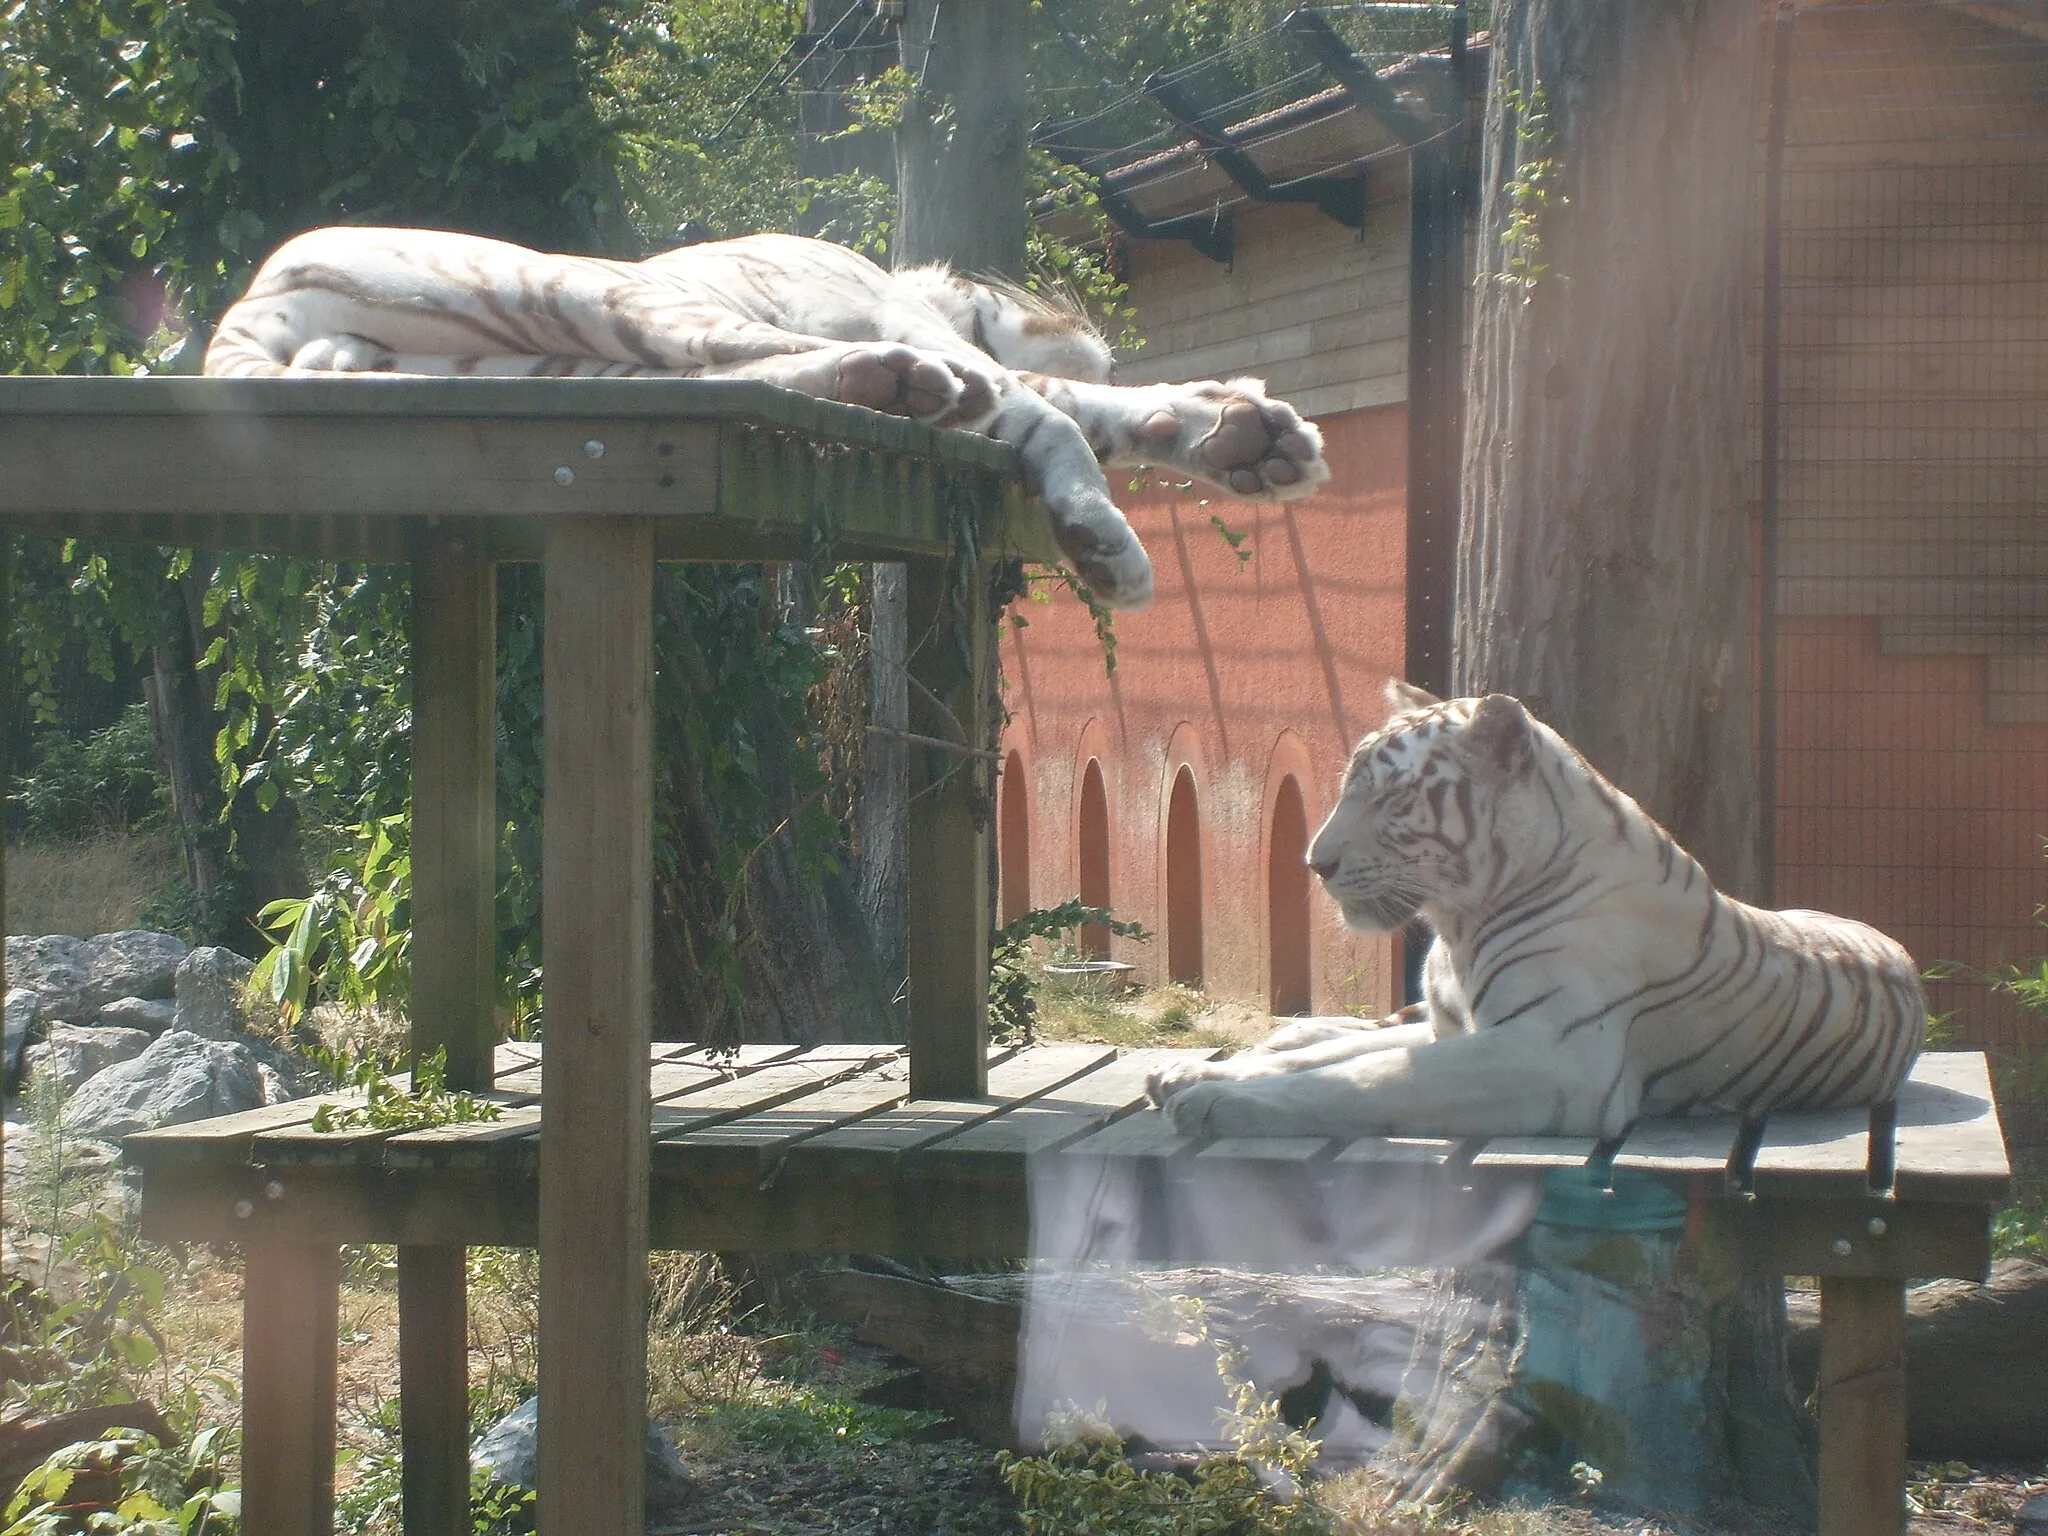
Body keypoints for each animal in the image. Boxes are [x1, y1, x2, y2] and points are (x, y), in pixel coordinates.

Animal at [207, 228, 1327, 614]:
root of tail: (241, 311)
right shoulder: (917, 317)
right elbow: (1051, 414)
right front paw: (1108, 547)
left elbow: (1084, 412)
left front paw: (1251, 438)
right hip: (580, 285)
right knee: (747, 354)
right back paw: (914, 387)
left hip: (552, 353)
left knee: (737, 365)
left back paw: (901, 389)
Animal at [1146, 684, 1925, 1146]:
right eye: (1347, 787)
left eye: (1393, 798)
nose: (1315, 863)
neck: (1457, 927)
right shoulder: (1455, 1029)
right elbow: (1334, 1060)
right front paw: (1193, 1077)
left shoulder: (1553, 1056)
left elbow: (1363, 1080)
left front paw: (1215, 1105)